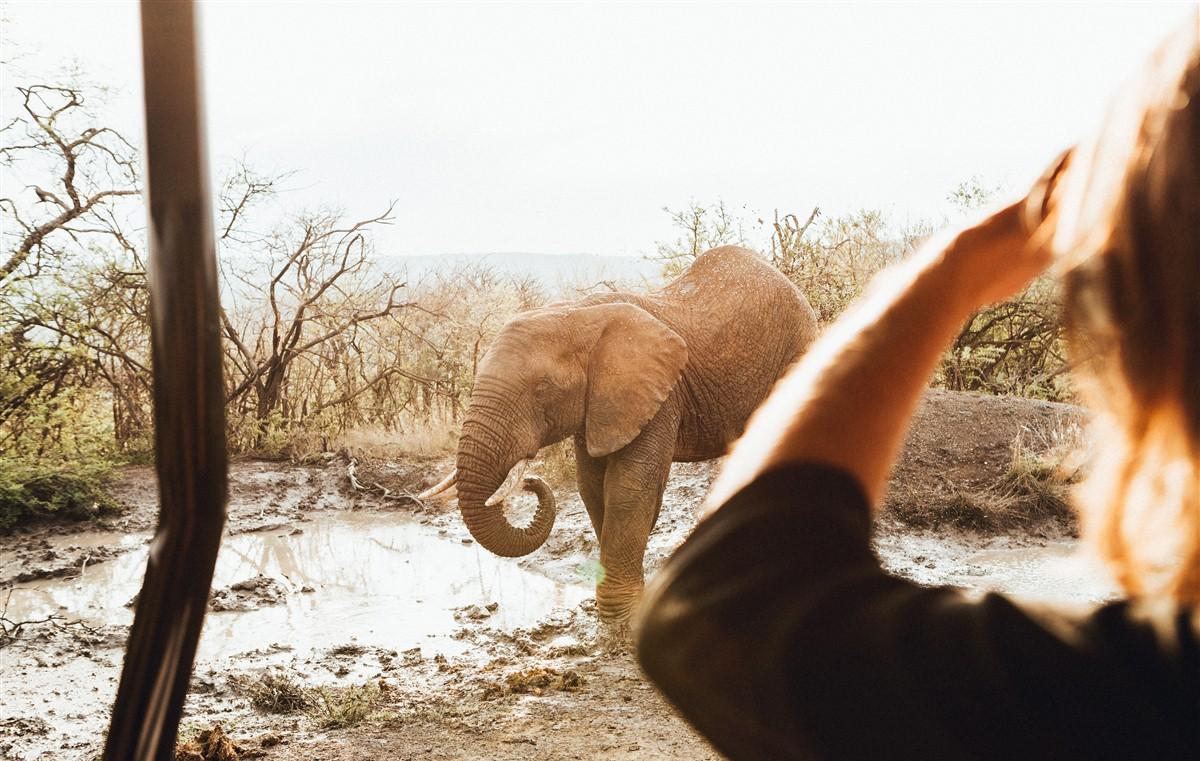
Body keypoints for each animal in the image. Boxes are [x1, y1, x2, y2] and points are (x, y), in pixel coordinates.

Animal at [417, 246, 820, 624]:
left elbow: (628, 489)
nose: (531, 480)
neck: (578, 313)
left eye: (542, 389)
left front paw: (620, 619)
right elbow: (592, 486)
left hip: (798, 349)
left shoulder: (657, 396)